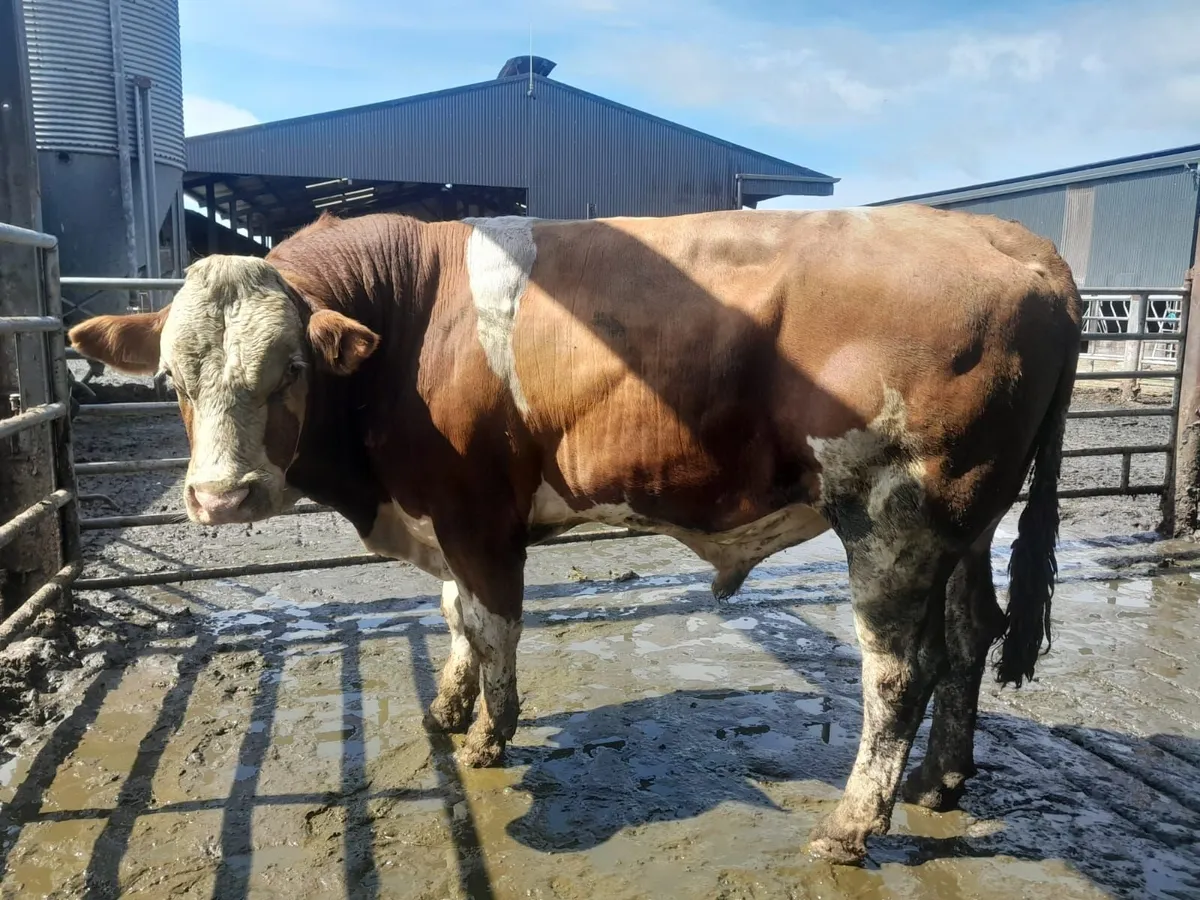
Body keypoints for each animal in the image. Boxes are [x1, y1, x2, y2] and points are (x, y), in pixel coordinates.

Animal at [68, 204, 1083, 865]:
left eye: (288, 370)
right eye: (171, 378)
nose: (220, 496)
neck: (408, 317)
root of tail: (1013, 242)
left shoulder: (479, 512)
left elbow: (492, 625)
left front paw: (487, 736)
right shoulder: (446, 517)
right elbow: (453, 616)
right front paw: (447, 708)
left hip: (892, 511)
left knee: (898, 672)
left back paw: (851, 825)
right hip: (967, 521)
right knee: (970, 639)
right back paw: (940, 782)